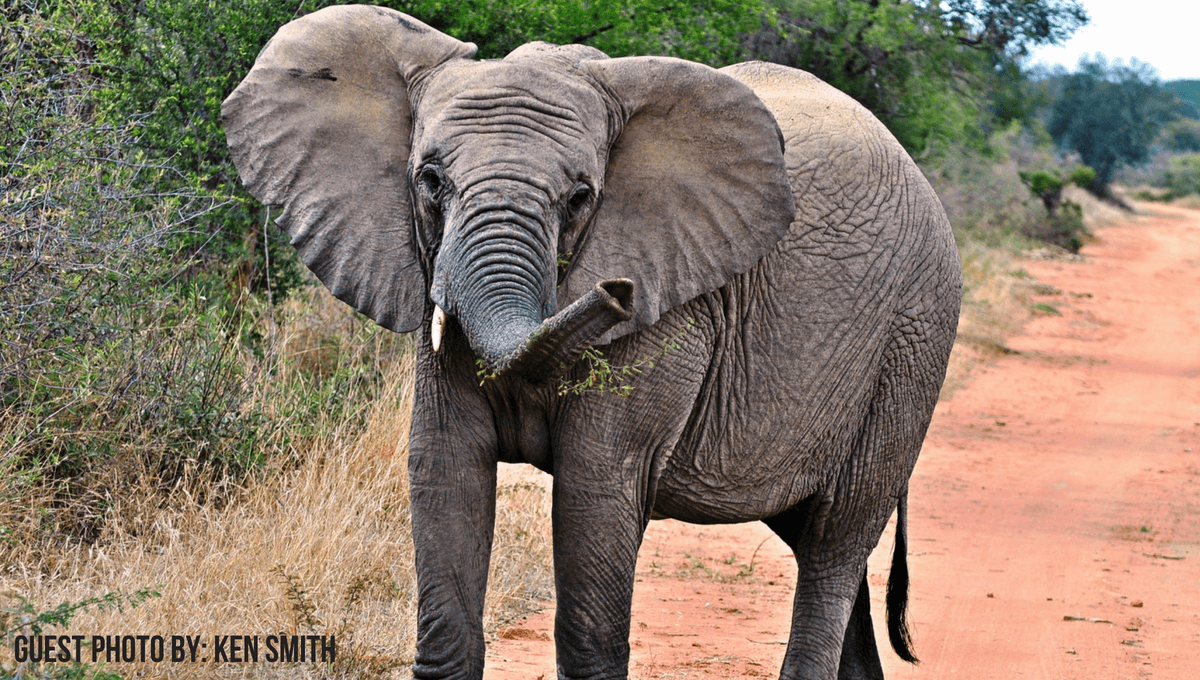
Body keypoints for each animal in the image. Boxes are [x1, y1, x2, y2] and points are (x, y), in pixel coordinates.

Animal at [222, 6, 961, 680]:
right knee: (813, 536)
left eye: (581, 197)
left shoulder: (675, 306)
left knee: (837, 538)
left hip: (912, 342)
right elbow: (444, 467)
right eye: (429, 181)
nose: (615, 292)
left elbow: (597, 488)